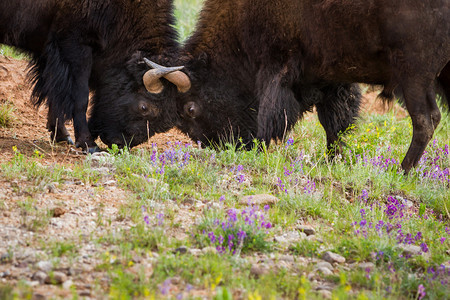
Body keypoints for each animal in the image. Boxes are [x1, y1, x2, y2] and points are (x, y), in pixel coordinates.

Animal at [0, 0, 188, 152]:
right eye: (144, 107)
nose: (119, 143)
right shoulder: (77, 46)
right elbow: (80, 98)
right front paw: (89, 145)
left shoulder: (50, 55)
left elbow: (55, 94)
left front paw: (62, 136)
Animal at [170, 0, 450, 173]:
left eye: (191, 109)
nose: (222, 147)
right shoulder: (329, 79)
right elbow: (333, 124)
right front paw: (334, 160)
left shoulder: (276, 68)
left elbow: (270, 116)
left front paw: (262, 148)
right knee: (432, 118)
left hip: (414, 76)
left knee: (425, 121)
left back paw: (401, 170)